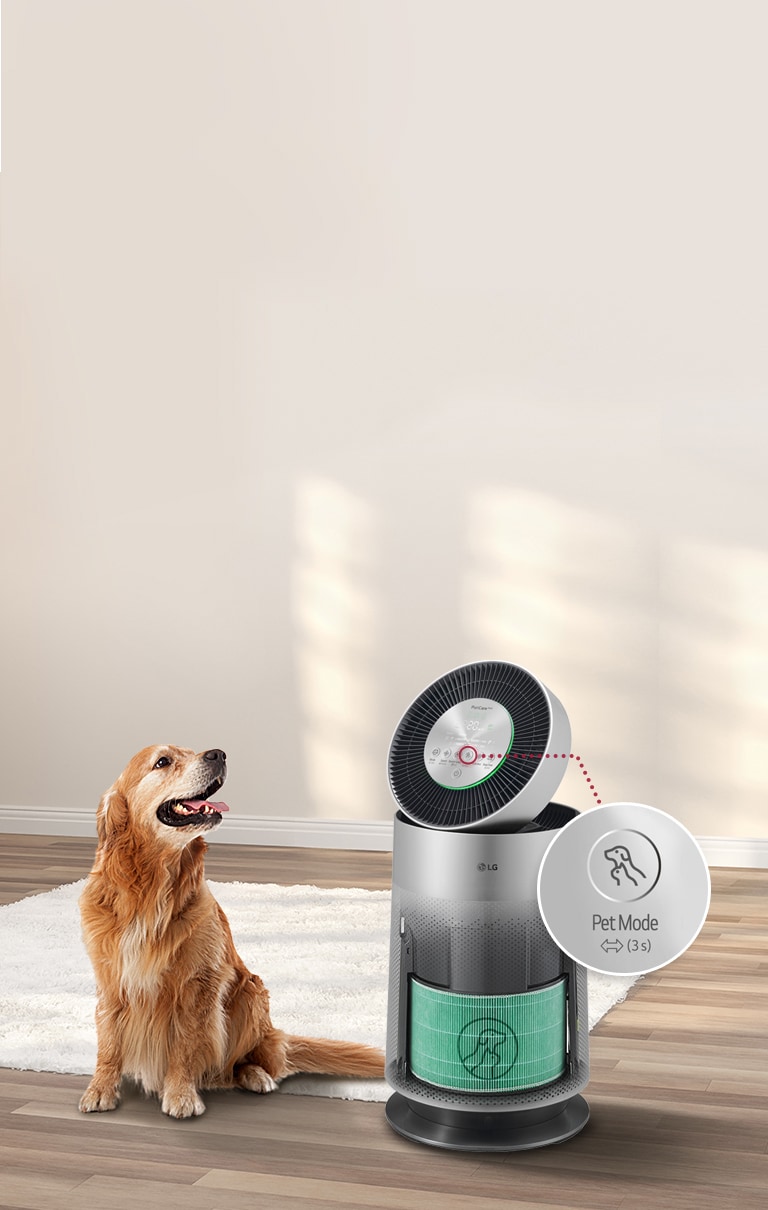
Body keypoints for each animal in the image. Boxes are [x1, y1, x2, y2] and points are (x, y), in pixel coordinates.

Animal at [79, 740, 384, 1118]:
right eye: (162, 761)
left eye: (191, 750)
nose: (218, 754)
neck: (150, 892)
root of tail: (274, 1034)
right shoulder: (111, 978)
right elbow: (108, 1042)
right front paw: (100, 1088)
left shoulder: (199, 982)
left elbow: (185, 1044)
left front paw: (181, 1094)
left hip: (251, 992)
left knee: (248, 1063)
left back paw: (255, 1075)